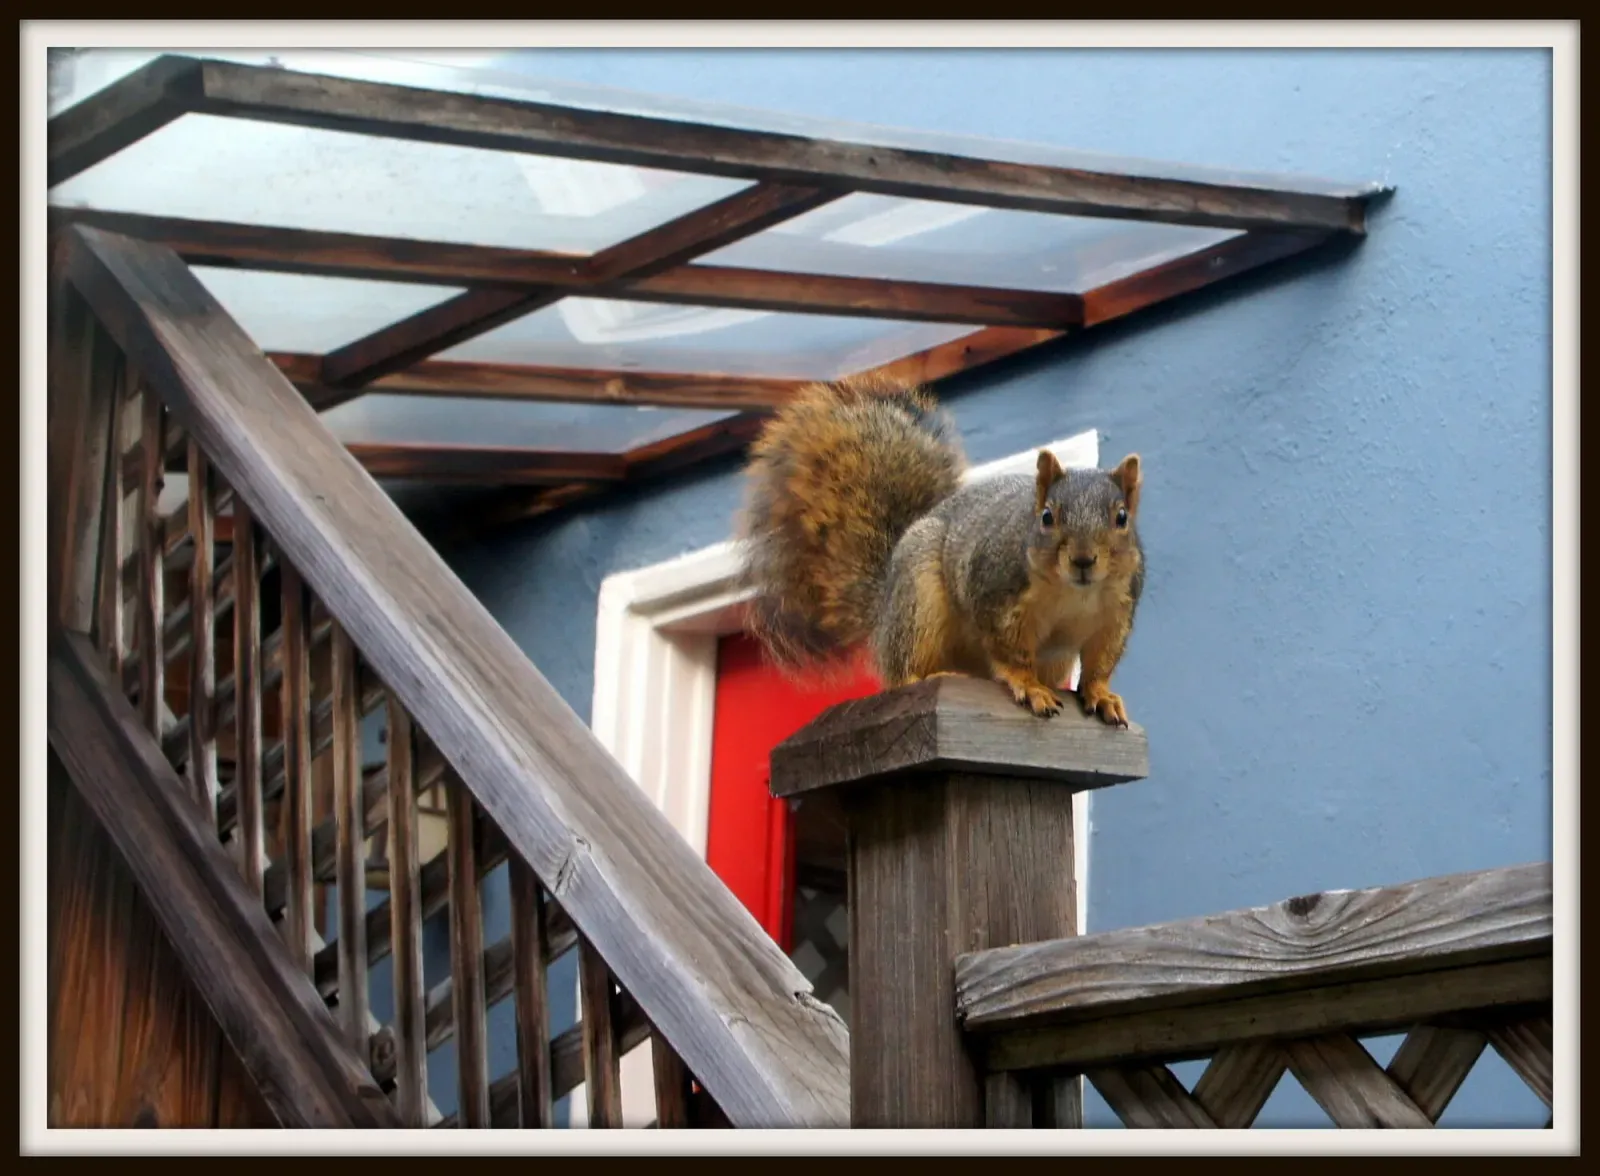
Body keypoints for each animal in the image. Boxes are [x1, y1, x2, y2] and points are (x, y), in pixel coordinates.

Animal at [736, 372, 1144, 725]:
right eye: (1046, 516)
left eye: (1122, 517)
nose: (1083, 560)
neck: (1074, 593)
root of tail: (883, 607)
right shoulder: (994, 594)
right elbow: (1010, 653)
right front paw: (1030, 687)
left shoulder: (1117, 613)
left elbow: (1101, 662)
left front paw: (1102, 695)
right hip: (918, 600)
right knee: (901, 668)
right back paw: (921, 677)